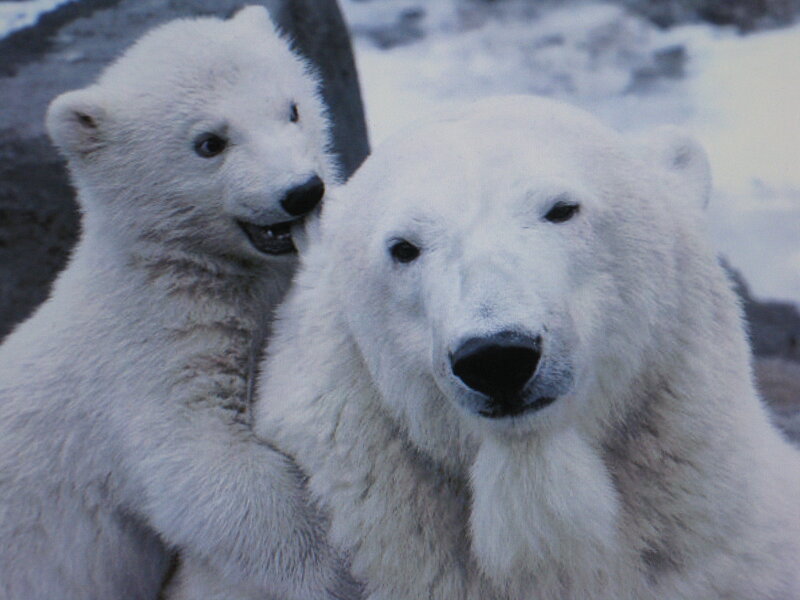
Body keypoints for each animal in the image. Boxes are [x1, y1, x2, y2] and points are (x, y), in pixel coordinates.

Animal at [0, 7, 358, 600]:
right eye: (209, 142)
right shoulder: (145, 351)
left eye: (292, 108)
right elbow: (198, 461)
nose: (302, 190)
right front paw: (334, 568)